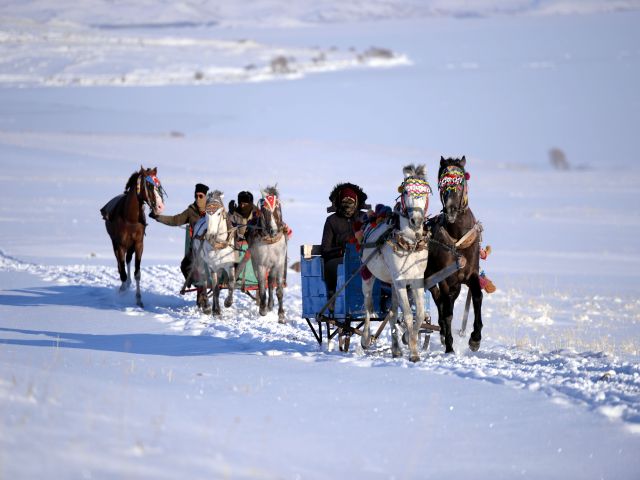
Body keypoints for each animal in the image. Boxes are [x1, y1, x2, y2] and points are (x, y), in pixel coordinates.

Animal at [102, 167, 165, 306]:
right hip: (116, 244)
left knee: (128, 260)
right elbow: (122, 272)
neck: (130, 219)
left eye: (158, 186)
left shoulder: (138, 244)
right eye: (149, 185)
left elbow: (137, 273)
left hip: (130, 246)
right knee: (120, 265)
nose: (160, 206)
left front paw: (139, 299)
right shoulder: (120, 245)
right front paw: (123, 291)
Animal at [248, 186, 288, 324]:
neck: (270, 241)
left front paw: (281, 315)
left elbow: (279, 290)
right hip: (255, 264)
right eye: (264, 209)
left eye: (277, 206)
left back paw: (270, 305)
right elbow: (261, 287)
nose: (273, 230)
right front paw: (262, 310)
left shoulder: (279, 264)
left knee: (270, 281)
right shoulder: (260, 265)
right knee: (262, 285)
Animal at [362, 164, 432, 360]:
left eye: (426, 192)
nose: (416, 221)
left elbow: (420, 315)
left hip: (392, 283)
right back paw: (365, 339)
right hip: (368, 275)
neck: (410, 244)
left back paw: (395, 349)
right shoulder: (401, 280)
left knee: (392, 312)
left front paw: (410, 339)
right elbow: (407, 314)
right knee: (368, 307)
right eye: (406, 191)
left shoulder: (416, 280)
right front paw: (414, 353)